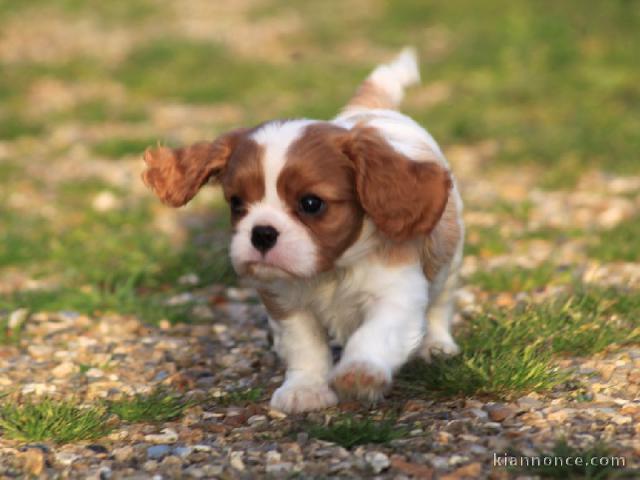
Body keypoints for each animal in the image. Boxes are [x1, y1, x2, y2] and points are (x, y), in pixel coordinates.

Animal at [144, 50, 464, 414]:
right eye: (237, 203)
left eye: (311, 203)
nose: (262, 234)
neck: (330, 271)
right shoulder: (286, 303)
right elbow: (306, 347)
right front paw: (305, 390)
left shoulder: (397, 294)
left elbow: (376, 333)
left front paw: (360, 372)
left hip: (449, 261)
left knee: (440, 306)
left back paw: (436, 345)